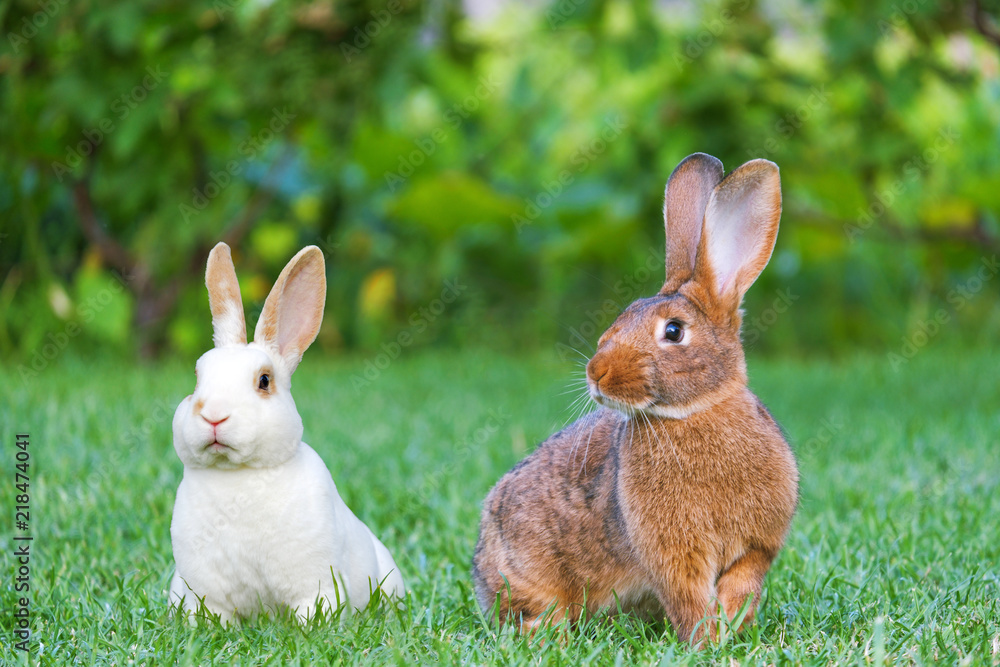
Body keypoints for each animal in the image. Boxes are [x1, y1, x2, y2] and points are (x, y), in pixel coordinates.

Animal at [169, 242, 405, 624]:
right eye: (196, 377)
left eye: (264, 381)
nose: (214, 416)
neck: (240, 475)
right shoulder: (204, 592)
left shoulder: (315, 584)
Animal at [472, 153, 799, 644]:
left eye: (674, 331)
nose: (596, 372)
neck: (693, 411)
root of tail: (480, 570)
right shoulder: (673, 555)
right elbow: (687, 596)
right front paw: (708, 640)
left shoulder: (757, 547)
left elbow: (743, 582)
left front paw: (730, 627)